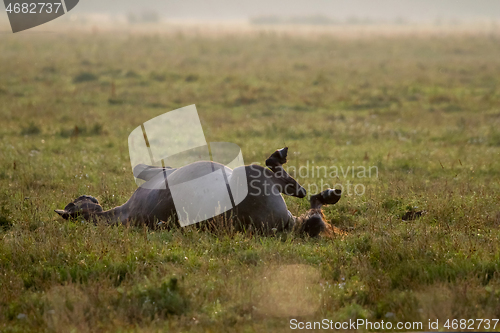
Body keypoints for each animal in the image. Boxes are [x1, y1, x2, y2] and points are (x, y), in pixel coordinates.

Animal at [55, 146, 344, 236]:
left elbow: (140, 167)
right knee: (294, 188)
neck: (122, 214)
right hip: (253, 174)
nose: (86, 196)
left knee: (311, 206)